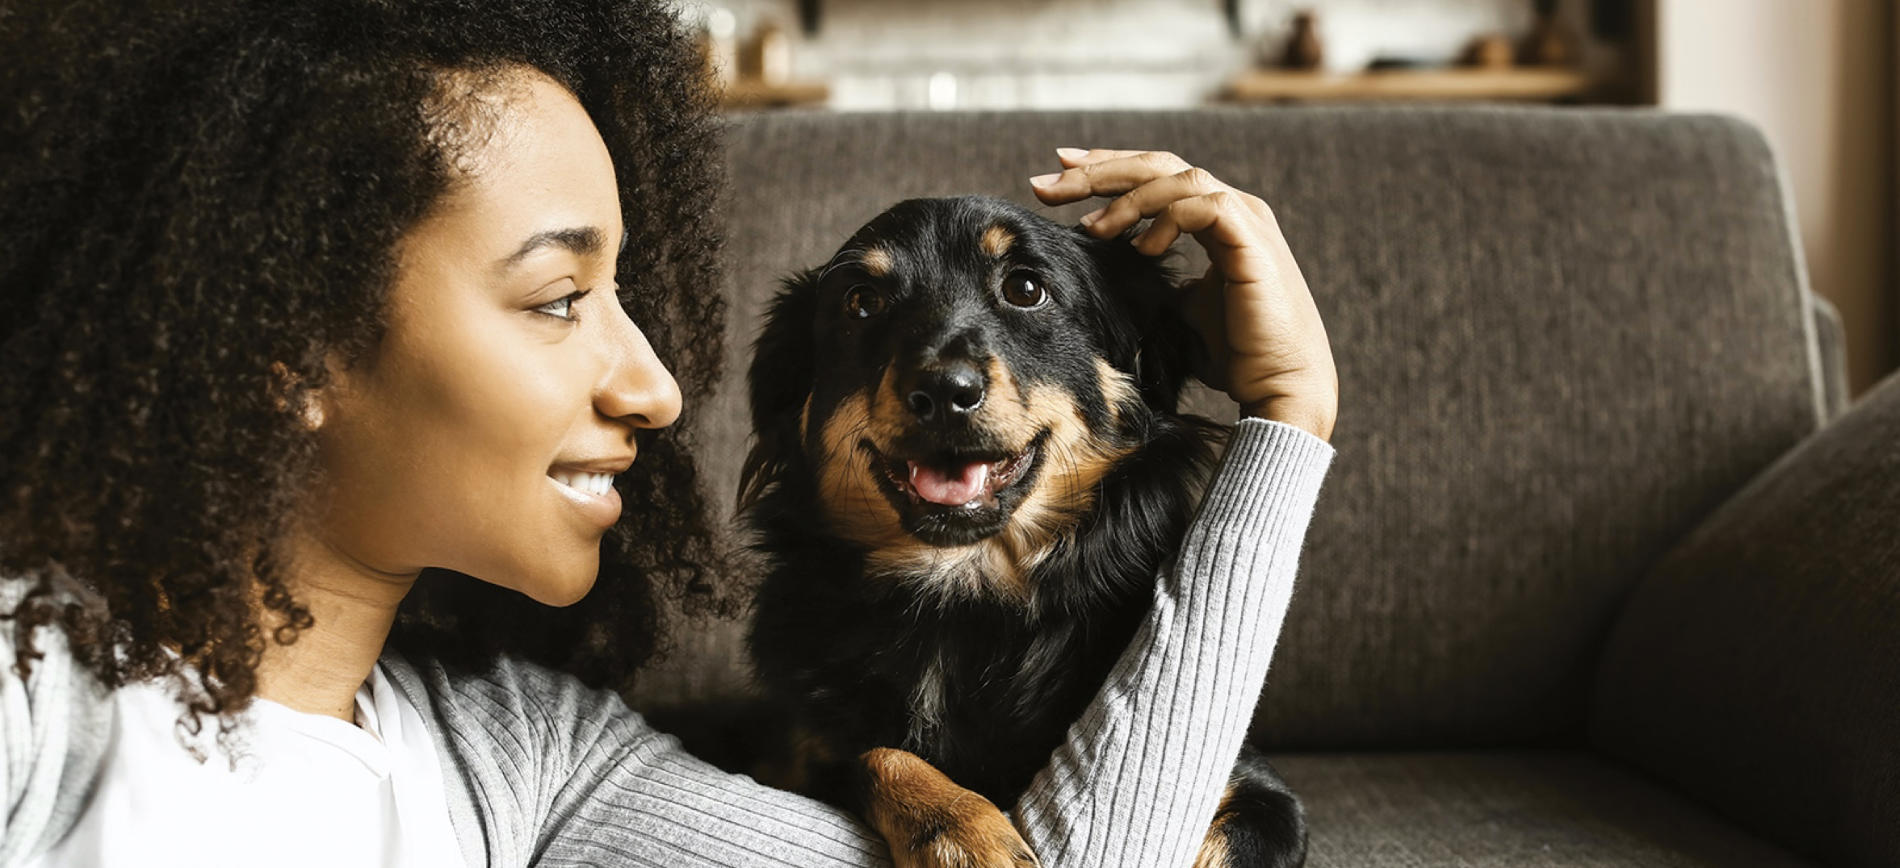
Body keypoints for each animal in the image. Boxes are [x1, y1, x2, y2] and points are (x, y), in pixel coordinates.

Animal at [737, 196, 1307, 866]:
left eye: (1025, 289)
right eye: (861, 302)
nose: (943, 391)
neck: (963, 595)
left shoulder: (1260, 794)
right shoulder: (793, 755)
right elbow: (876, 755)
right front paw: (960, 829)